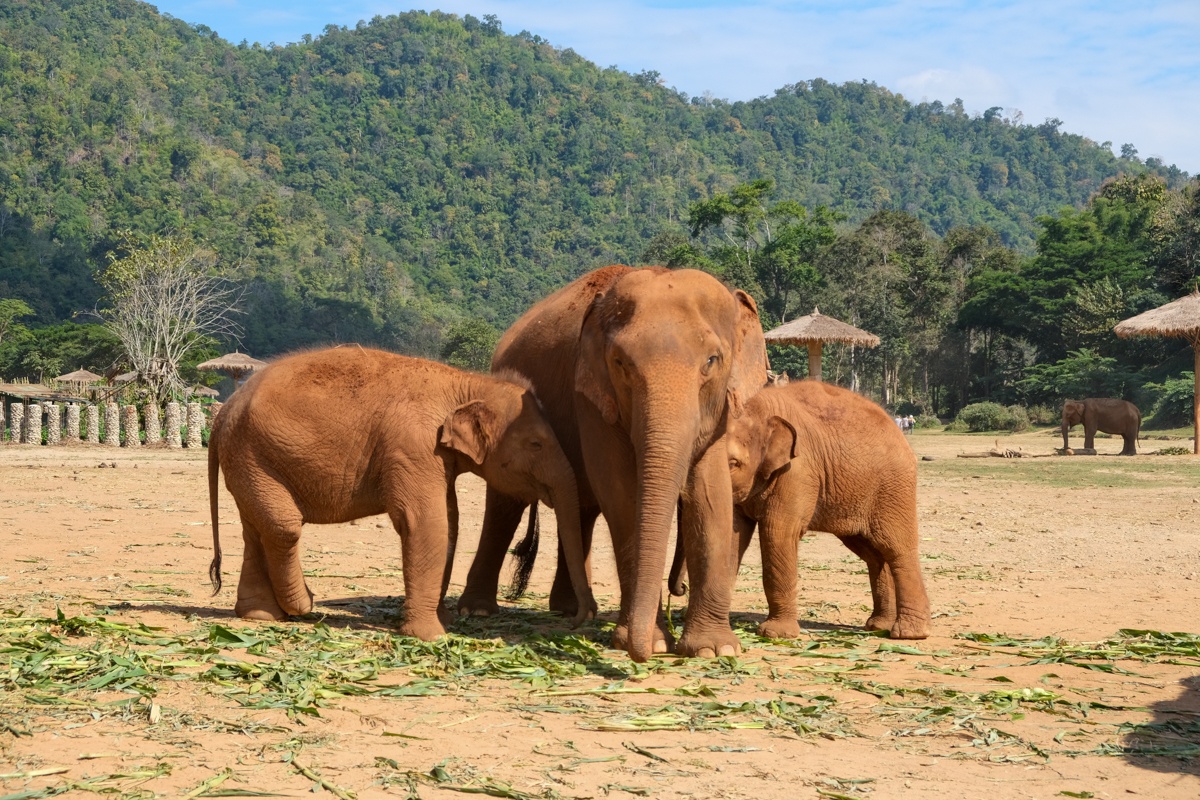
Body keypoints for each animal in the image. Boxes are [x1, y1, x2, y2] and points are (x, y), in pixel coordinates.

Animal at [213, 347, 597, 642]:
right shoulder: (413, 446)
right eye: (536, 444)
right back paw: (303, 606)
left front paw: (446, 622)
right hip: (254, 456)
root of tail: (224, 409)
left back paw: (260, 615)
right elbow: (425, 522)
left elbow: (450, 521)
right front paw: (432, 636)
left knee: (256, 529)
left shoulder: (434, 456)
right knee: (283, 526)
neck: (464, 383)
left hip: (248, 460)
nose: (579, 619)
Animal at [453, 266, 763, 662]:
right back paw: (477, 610)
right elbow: (621, 492)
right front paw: (649, 641)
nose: (644, 652)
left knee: (581, 508)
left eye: (712, 361)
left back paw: (571, 609)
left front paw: (714, 649)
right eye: (621, 364)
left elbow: (712, 494)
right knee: (506, 506)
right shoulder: (593, 396)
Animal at [724, 379, 931, 642]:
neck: (758, 408)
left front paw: (775, 635)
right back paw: (878, 626)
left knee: (896, 547)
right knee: (872, 553)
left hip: (893, 488)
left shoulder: (798, 472)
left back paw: (908, 634)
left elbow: (778, 533)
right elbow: (732, 533)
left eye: (733, 463)